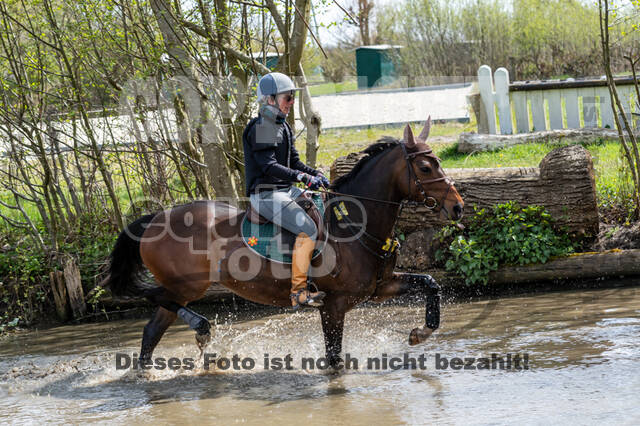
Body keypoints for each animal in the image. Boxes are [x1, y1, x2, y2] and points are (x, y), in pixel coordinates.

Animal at [106, 118, 464, 368]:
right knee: (157, 299)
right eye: (425, 166)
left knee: (152, 330)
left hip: (183, 288)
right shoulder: (334, 305)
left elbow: (430, 283)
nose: (458, 207)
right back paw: (201, 327)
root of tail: (155, 218)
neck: (355, 226)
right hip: (186, 285)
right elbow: (334, 359)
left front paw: (421, 332)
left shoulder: (379, 288)